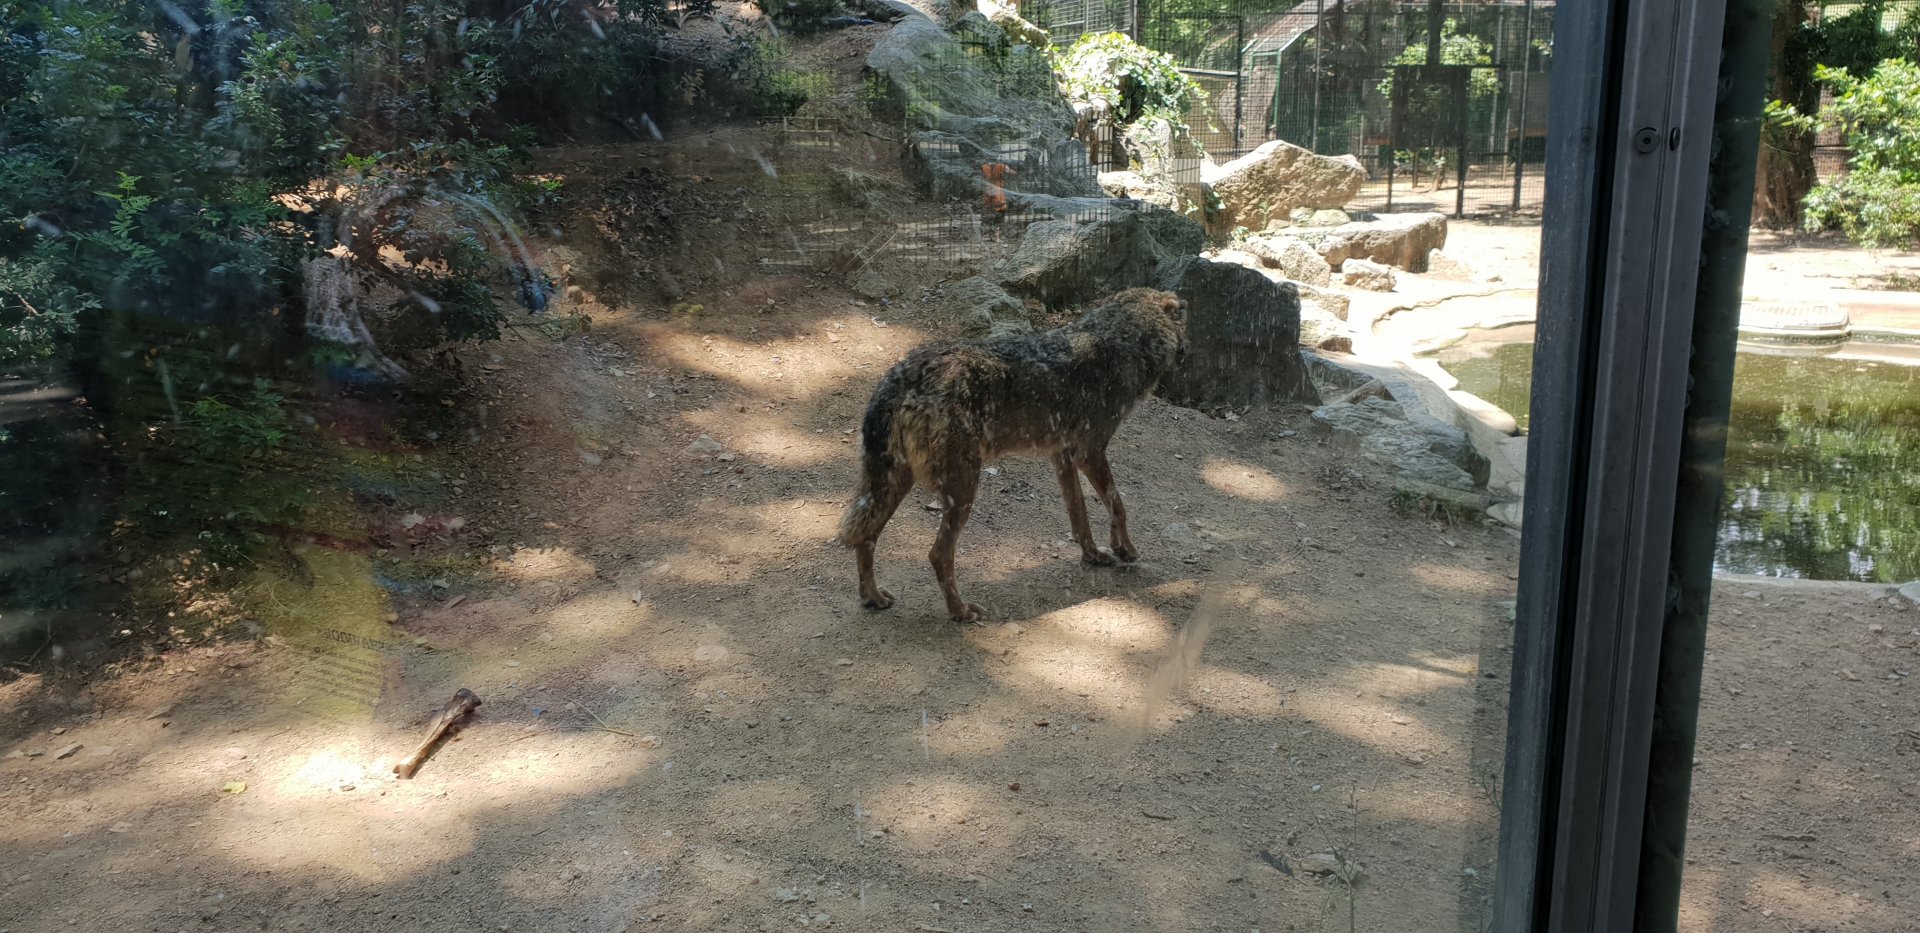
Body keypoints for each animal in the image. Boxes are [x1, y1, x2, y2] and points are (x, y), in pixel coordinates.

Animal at [837, 287, 1188, 621]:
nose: (1188, 353)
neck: (1122, 339)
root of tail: (901, 379)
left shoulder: (1063, 456)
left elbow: (1080, 514)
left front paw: (1093, 554)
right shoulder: (1089, 453)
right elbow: (1118, 504)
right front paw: (1125, 549)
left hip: (893, 485)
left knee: (865, 536)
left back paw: (873, 597)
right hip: (962, 490)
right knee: (937, 554)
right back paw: (961, 612)